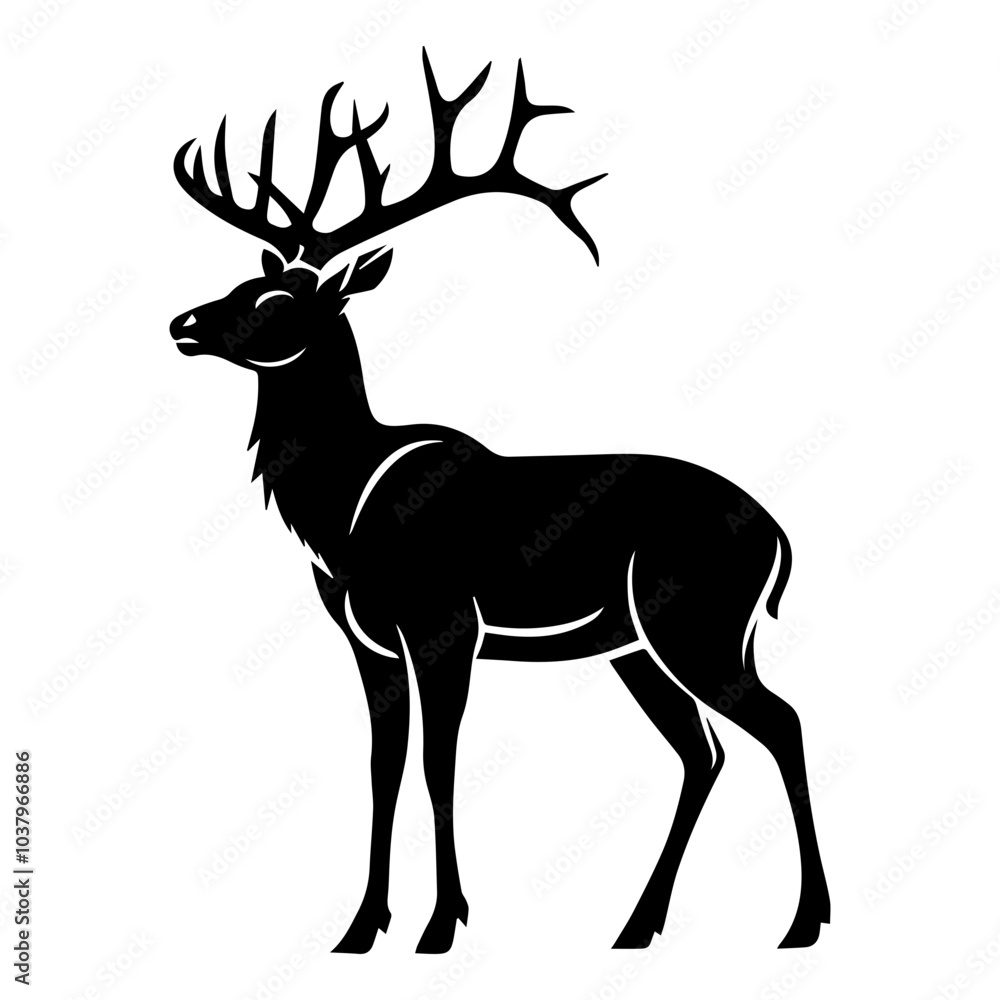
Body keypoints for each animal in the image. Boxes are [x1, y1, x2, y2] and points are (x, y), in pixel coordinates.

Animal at [170, 49, 829, 954]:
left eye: (276, 302)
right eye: (241, 282)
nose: (183, 323)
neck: (344, 511)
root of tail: (778, 538)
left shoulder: (444, 622)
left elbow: (438, 767)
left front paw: (441, 925)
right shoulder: (368, 640)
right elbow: (382, 769)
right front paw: (360, 927)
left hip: (695, 621)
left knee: (782, 723)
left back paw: (804, 921)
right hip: (636, 645)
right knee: (704, 753)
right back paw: (637, 925)